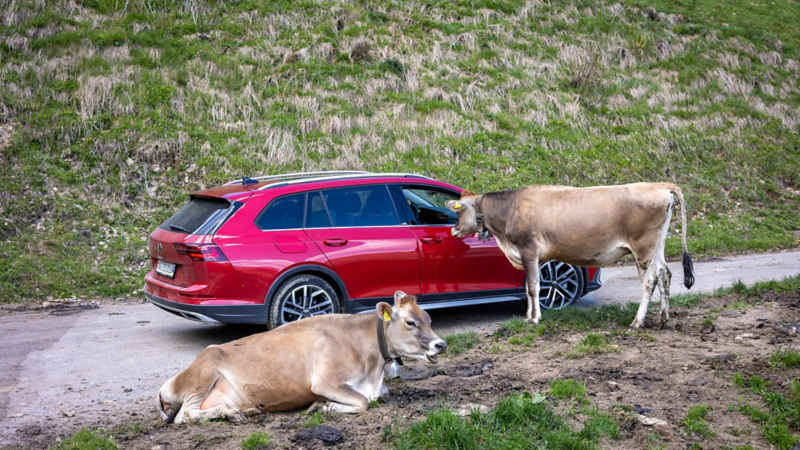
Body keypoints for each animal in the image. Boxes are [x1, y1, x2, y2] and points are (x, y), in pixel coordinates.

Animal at [156, 291, 446, 424]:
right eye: (410, 322)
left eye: (429, 319)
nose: (440, 344)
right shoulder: (325, 381)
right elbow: (363, 402)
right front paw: (323, 406)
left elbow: (379, 395)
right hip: (203, 372)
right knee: (186, 415)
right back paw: (231, 413)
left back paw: (247, 410)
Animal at [445, 183, 694, 329]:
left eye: (459, 210)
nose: (453, 230)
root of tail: (659, 185)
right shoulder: (529, 256)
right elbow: (527, 288)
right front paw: (527, 316)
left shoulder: (529, 251)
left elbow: (533, 287)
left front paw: (534, 318)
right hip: (657, 246)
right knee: (665, 275)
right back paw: (662, 318)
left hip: (642, 248)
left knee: (649, 281)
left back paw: (637, 322)